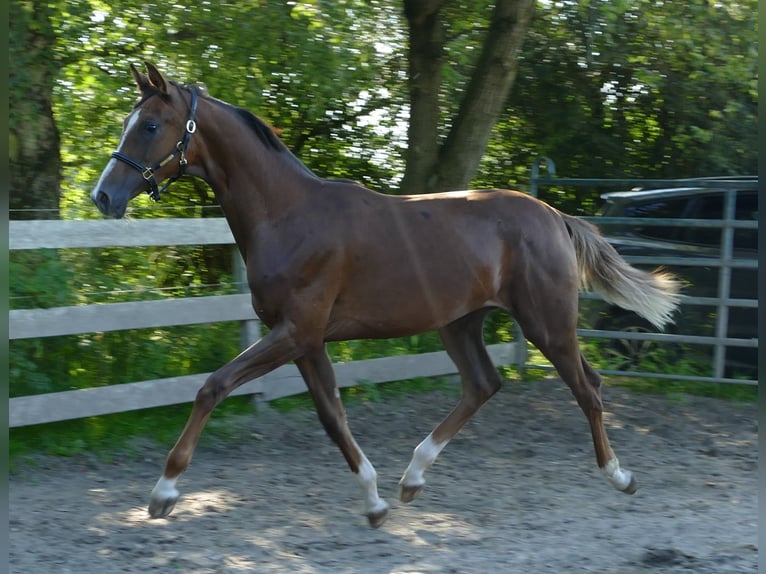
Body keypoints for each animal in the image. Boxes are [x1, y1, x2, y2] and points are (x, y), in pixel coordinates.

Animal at [93, 62, 680, 528]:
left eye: (150, 125)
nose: (103, 196)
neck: (288, 215)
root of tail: (555, 215)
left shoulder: (296, 331)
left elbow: (212, 387)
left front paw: (164, 493)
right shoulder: (306, 340)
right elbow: (333, 417)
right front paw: (374, 503)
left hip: (547, 323)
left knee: (588, 388)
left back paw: (619, 476)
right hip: (460, 322)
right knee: (483, 385)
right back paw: (412, 478)